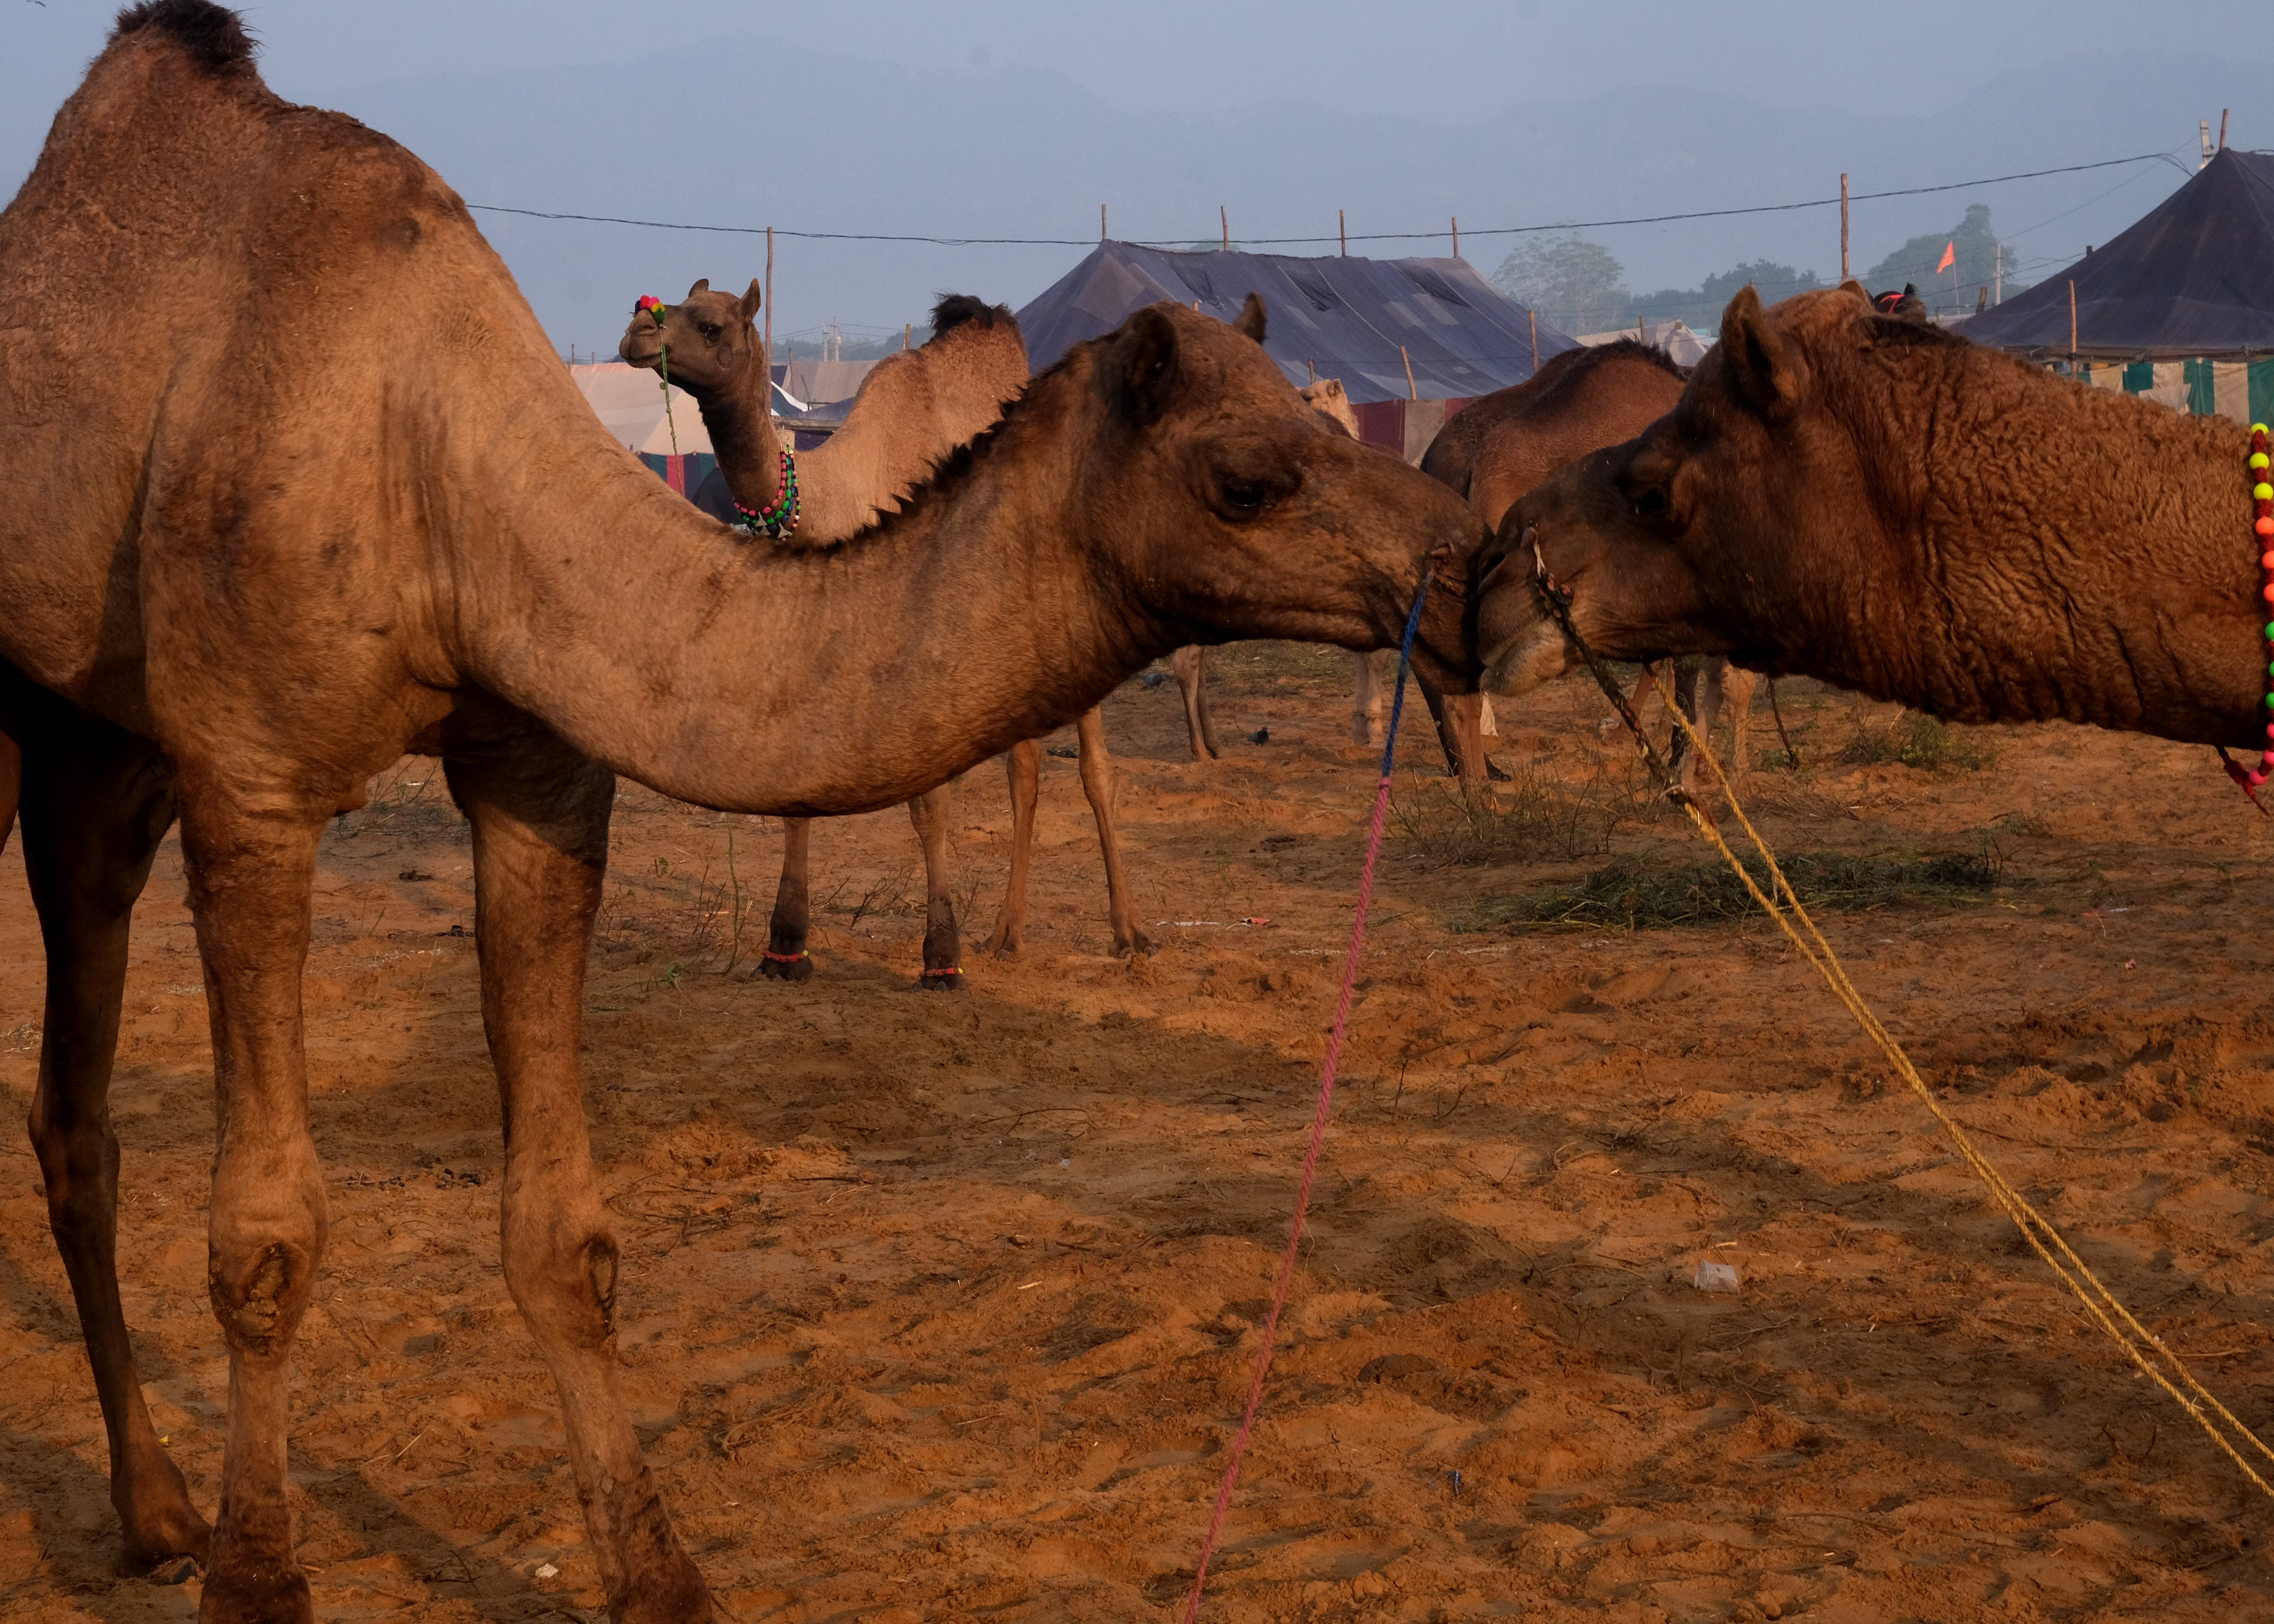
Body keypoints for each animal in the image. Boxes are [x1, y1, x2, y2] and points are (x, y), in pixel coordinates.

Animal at [619, 286, 1148, 973]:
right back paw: (1007, 934)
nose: (635, 333)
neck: (839, 496)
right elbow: (795, 792)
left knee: (1093, 768)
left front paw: (940, 959)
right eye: (669, 300)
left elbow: (930, 805)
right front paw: (785, 947)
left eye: (709, 325)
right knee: (1025, 767)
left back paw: (1128, 932)